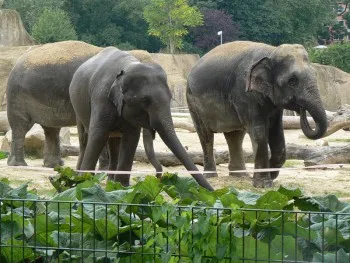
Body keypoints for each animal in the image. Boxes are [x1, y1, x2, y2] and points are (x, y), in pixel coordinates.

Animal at [6, 40, 163, 174]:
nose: (158, 173)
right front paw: (103, 170)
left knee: (51, 129)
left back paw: (54, 165)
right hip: (18, 96)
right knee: (21, 126)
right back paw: (19, 165)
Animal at [67, 46, 212, 192]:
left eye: (171, 97)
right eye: (144, 100)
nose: (212, 191)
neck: (127, 66)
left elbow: (131, 139)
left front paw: (122, 188)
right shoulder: (101, 98)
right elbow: (98, 135)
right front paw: (86, 183)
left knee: (113, 142)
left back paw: (110, 185)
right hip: (77, 108)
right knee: (85, 140)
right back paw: (78, 179)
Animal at [187, 40, 326, 188]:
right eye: (292, 81)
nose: (301, 109)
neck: (271, 51)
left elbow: (277, 133)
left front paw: (271, 175)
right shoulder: (245, 93)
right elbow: (259, 132)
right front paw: (264, 184)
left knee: (235, 136)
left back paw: (240, 176)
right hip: (193, 103)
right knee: (206, 135)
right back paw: (211, 176)